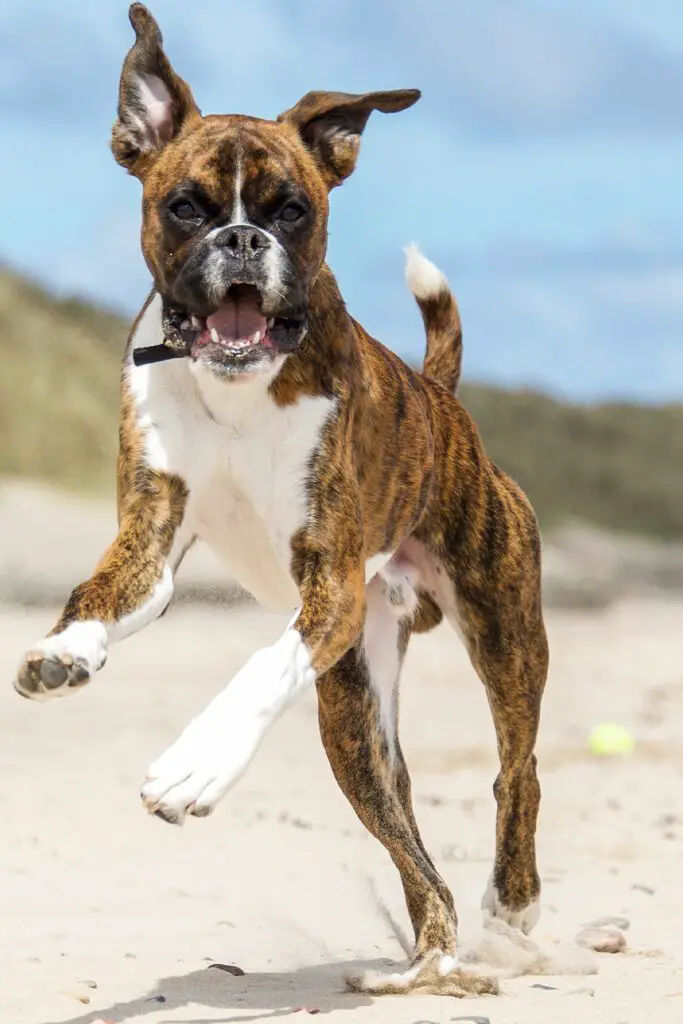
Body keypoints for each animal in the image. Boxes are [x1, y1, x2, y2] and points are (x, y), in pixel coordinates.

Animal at [13, 4, 548, 995]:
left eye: (291, 211)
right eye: (185, 206)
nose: (241, 241)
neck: (238, 382)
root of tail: (442, 398)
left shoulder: (326, 580)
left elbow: (259, 667)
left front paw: (195, 765)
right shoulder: (151, 544)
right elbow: (99, 593)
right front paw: (65, 650)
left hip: (503, 633)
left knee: (516, 771)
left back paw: (512, 907)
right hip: (354, 718)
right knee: (408, 841)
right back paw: (425, 962)